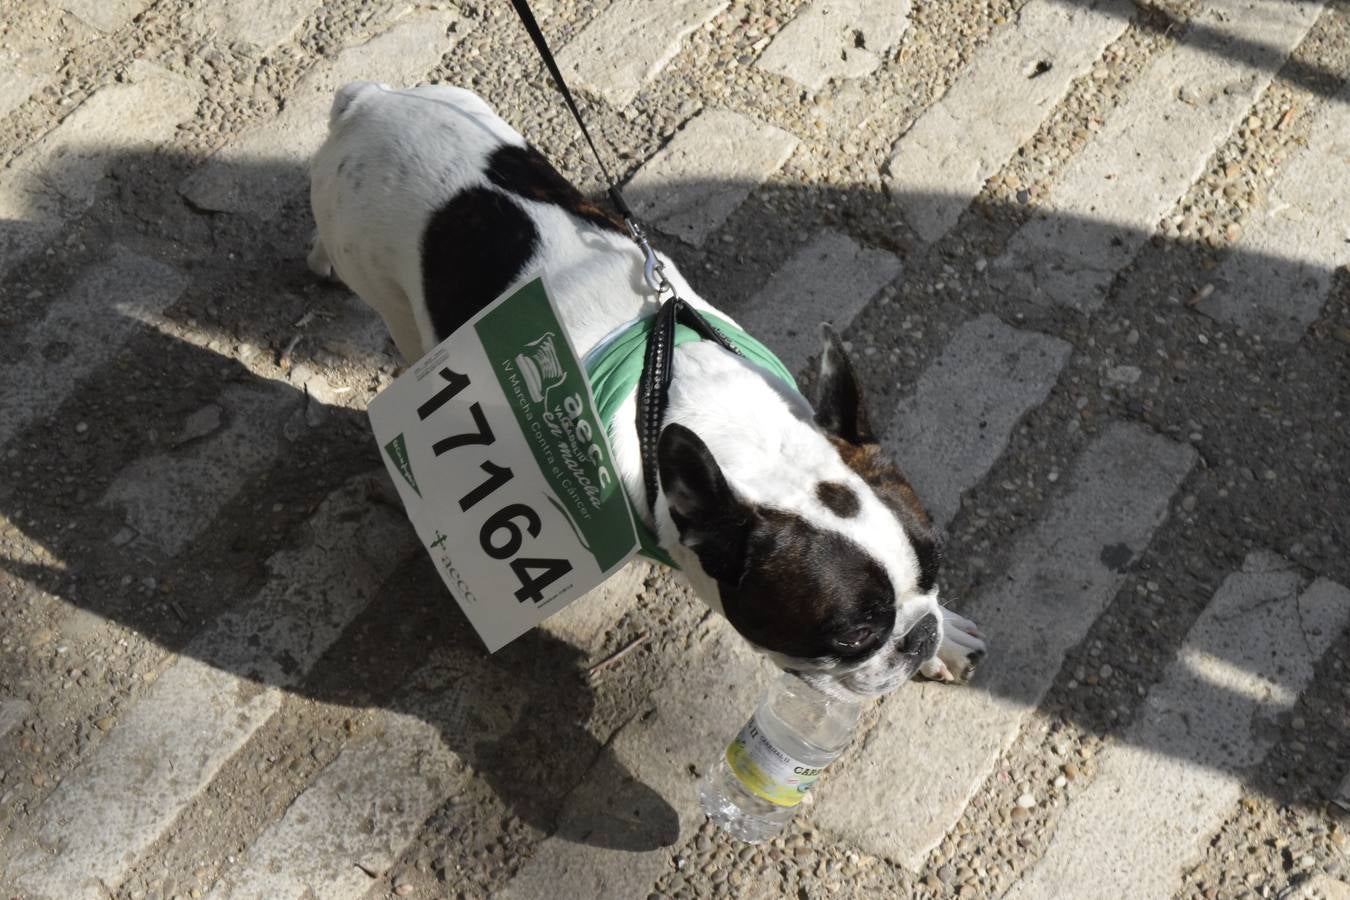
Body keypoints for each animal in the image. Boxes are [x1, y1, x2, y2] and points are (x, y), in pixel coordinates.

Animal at [309, 82, 982, 696]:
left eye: (935, 568)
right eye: (852, 636)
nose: (917, 635)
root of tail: (368, 100)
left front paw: (944, 637)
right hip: (383, 284)